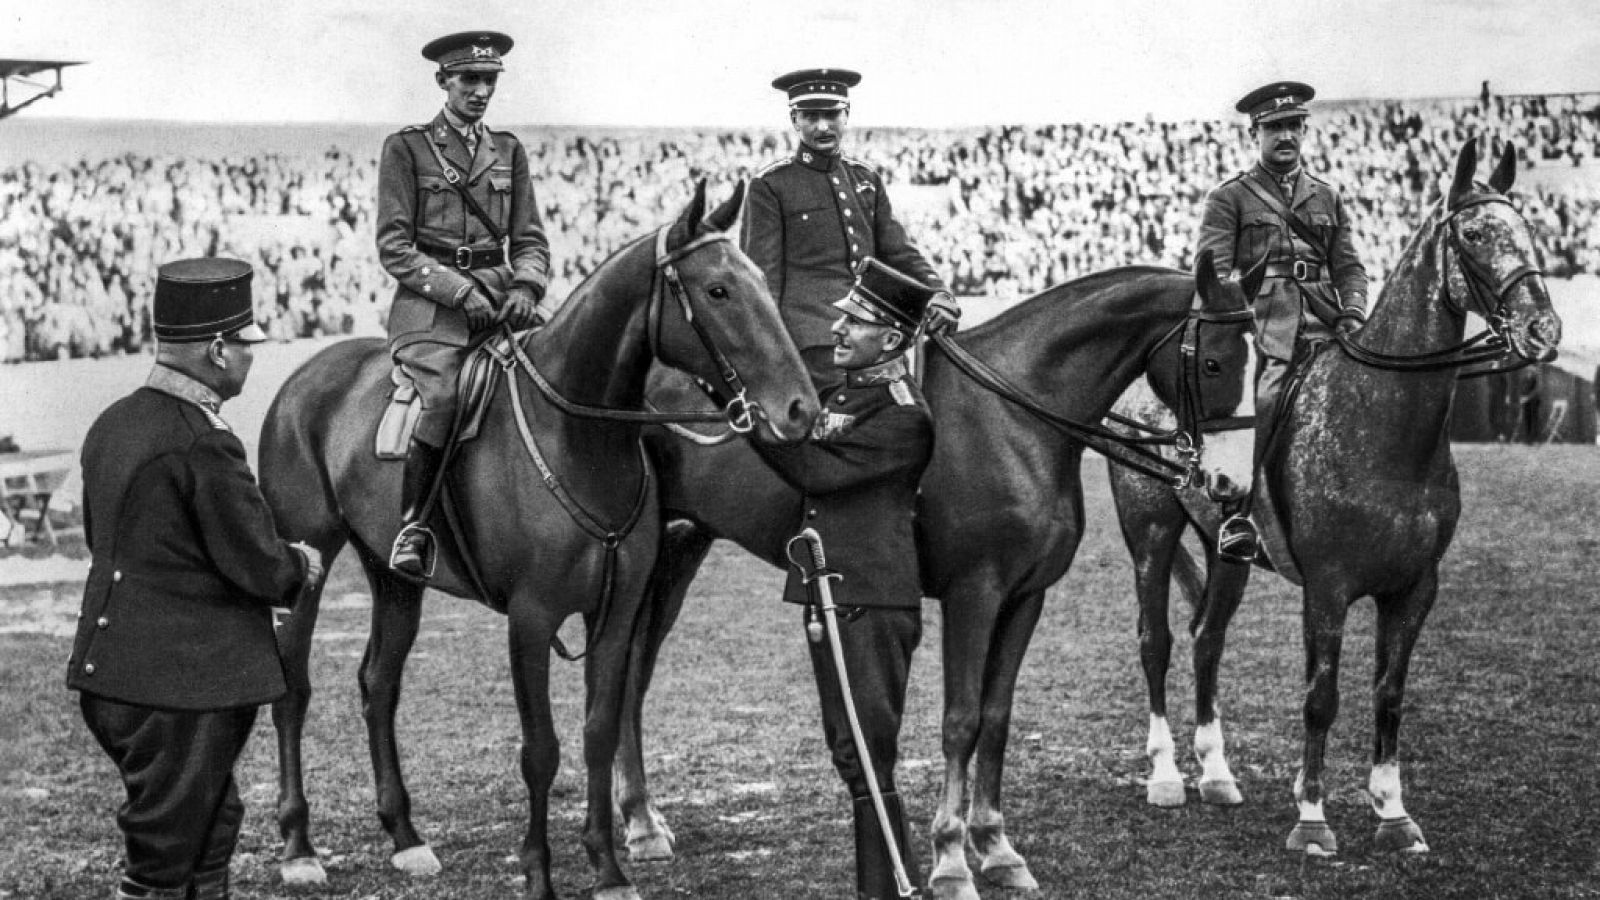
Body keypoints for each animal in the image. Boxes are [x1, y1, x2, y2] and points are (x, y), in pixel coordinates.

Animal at [259, 178, 825, 890]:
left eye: (759, 280)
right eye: (718, 289)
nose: (801, 409)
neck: (580, 439)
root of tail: (304, 378)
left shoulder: (613, 612)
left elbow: (599, 730)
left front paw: (608, 868)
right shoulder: (530, 620)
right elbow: (541, 751)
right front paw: (539, 873)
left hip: (392, 576)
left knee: (378, 684)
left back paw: (406, 836)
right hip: (305, 562)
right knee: (293, 692)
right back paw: (298, 848)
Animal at [617, 253, 1267, 896]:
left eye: (1262, 362)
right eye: (1214, 361)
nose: (1232, 484)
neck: (1012, 418)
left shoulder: (1026, 596)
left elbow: (996, 719)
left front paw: (997, 846)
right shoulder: (973, 594)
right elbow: (960, 721)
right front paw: (952, 857)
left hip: (679, 551)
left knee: (634, 675)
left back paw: (642, 820)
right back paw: (638, 825)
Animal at [1113, 141, 1561, 851]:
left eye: (1528, 227)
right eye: (1473, 234)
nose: (1543, 329)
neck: (1384, 425)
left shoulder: (1415, 588)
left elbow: (1389, 695)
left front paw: (1393, 812)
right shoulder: (1328, 586)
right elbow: (1321, 698)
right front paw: (1312, 817)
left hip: (1227, 554)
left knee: (1207, 638)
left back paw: (1216, 773)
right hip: (1150, 534)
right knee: (1155, 640)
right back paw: (1164, 776)